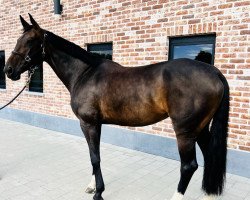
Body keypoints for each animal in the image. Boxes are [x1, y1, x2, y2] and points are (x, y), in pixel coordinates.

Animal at [3, 14, 229, 200]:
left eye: (30, 41)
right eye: (18, 40)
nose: (8, 70)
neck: (85, 73)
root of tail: (214, 72)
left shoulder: (88, 123)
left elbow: (95, 157)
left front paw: (99, 192)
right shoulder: (95, 124)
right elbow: (94, 155)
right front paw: (92, 187)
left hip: (185, 131)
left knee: (189, 166)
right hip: (200, 129)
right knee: (210, 158)